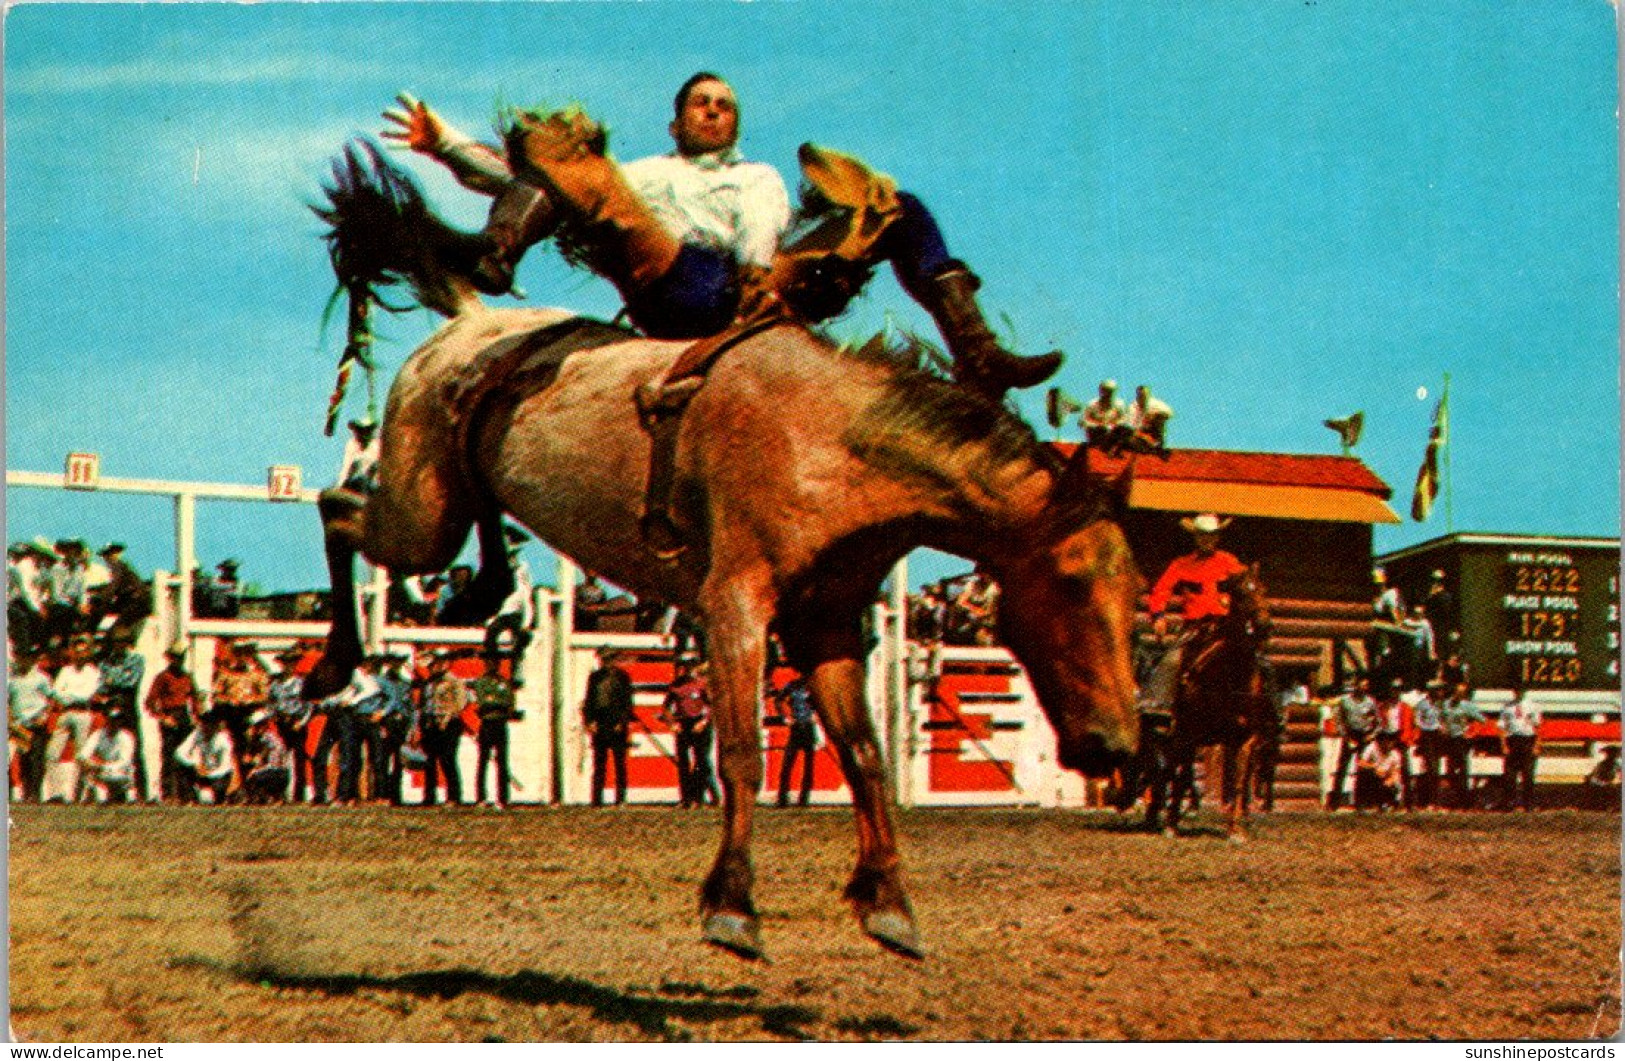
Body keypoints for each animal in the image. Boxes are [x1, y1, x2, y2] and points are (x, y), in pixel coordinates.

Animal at [307, 140, 1144, 961]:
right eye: (1071, 583)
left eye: (1134, 597)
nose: (1117, 742)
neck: (828, 440)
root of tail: (472, 322)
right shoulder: (734, 604)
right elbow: (742, 750)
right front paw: (733, 906)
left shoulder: (826, 622)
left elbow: (863, 752)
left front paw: (888, 903)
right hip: (419, 513)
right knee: (337, 510)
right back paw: (334, 662)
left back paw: (479, 589)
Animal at [1157, 565, 1267, 838]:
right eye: (1241, 593)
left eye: (1263, 589)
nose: (1264, 625)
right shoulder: (1190, 735)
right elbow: (1182, 778)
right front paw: (1172, 824)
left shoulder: (1244, 738)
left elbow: (1238, 782)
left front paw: (1236, 829)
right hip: (1179, 736)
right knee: (1172, 773)